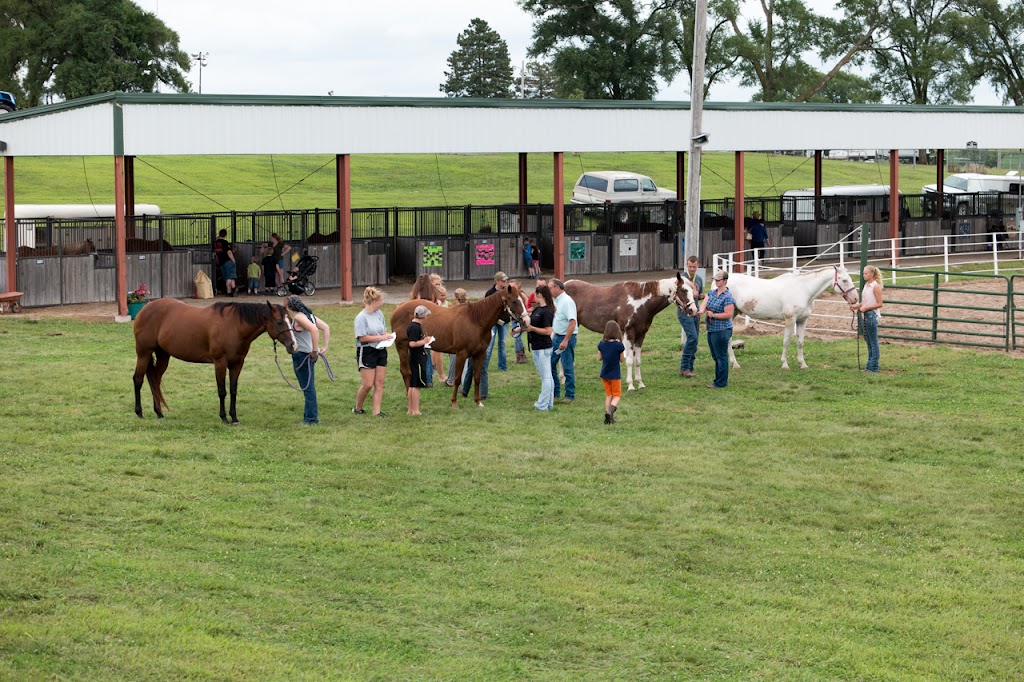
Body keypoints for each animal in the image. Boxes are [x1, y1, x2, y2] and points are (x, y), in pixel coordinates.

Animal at [132, 296, 296, 419]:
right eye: (279, 322)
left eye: (291, 320)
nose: (293, 345)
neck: (234, 326)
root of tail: (145, 309)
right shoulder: (220, 363)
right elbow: (222, 391)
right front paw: (224, 417)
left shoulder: (237, 364)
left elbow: (233, 390)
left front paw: (234, 417)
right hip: (143, 353)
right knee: (138, 380)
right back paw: (139, 413)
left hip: (163, 355)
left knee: (155, 380)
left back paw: (159, 412)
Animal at [391, 280, 528, 403]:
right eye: (514, 301)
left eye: (523, 299)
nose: (526, 321)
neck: (475, 320)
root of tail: (399, 307)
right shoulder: (461, 354)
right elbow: (457, 379)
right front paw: (454, 402)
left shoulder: (480, 354)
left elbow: (476, 377)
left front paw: (478, 401)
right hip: (402, 346)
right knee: (405, 371)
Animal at [565, 270, 700, 387]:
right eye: (683, 290)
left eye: (692, 290)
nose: (693, 310)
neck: (639, 304)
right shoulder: (628, 334)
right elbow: (629, 360)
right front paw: (630, 385)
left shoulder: (641, 335)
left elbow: (637, 360)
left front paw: (640, 383)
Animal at [724, 262, 860, 368]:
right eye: (844, 280)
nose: (855, 298)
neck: (803, 290)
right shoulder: (790, 319)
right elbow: (786, 341)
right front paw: (784, 364)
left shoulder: (802, 320)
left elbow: (800, 342)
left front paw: (803, 364)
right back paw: (735, 364)